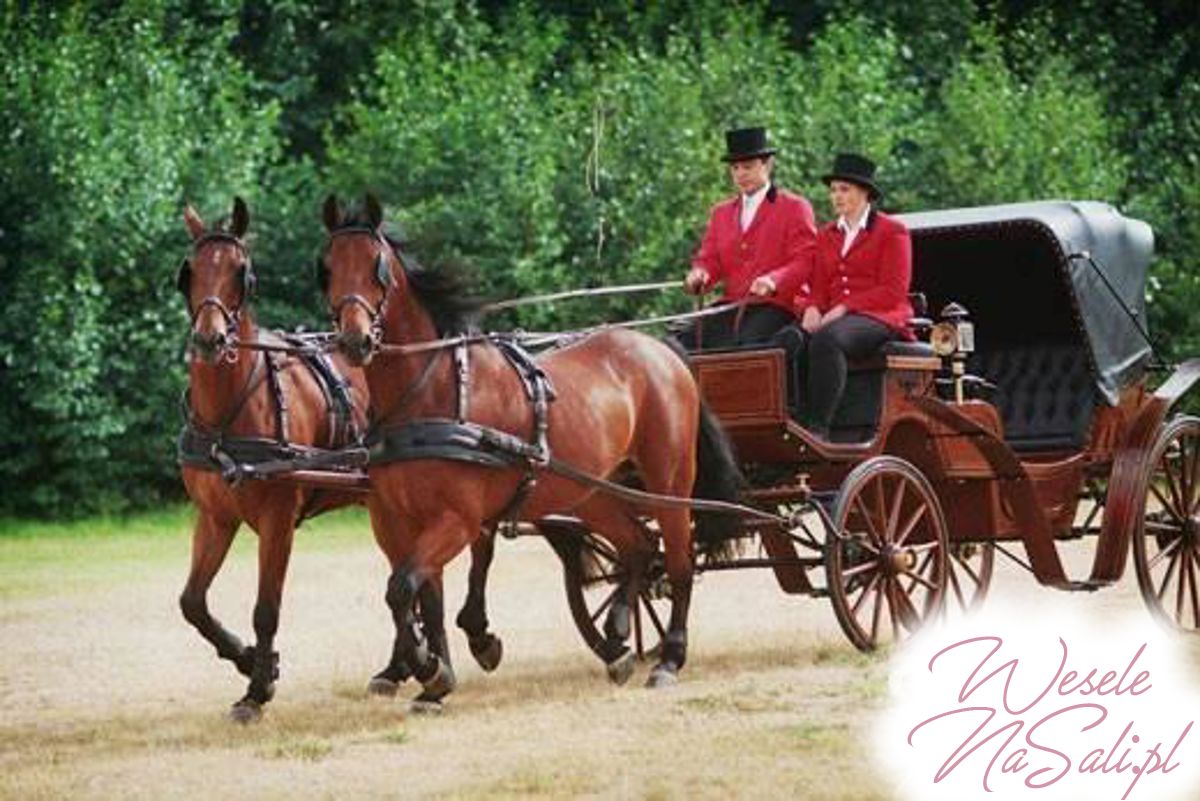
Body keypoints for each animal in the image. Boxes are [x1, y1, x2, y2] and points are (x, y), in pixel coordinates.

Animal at [174, 199, 501, 719]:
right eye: (189, 272)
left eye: (242, 273)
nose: (210, 340)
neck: (229, 410)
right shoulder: (214, 516)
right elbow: (192, 603)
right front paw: (250, 661)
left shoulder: (278, 519)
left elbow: (266, 609)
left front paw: (258, 689)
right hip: (390, 505)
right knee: (420, 579)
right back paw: (404, 668)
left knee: (474, 548)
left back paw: (471, 640)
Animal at [314, 195, 734, 700]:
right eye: (327, 267)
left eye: (377, 268)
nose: (354, 340)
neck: (430, 393)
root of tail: (662, 350)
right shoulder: (398, 519)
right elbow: (420, 597)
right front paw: (435, 675)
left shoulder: (457, 519)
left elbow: (403, 588)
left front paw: (436, 665)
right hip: (593, 491)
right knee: (637, 546)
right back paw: (617, 637)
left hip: (668, 478)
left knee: (677, 561)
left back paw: (669, 658)